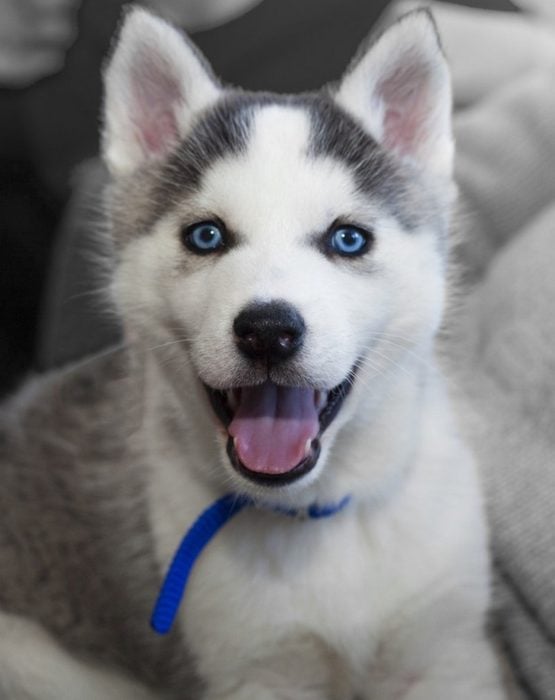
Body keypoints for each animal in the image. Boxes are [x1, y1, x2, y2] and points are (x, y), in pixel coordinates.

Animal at [0, 6, 508, 700]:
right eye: (206, 235)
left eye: (348, 239)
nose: (269, 330)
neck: (317, 516)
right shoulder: (255, 673)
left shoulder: (451, 653)